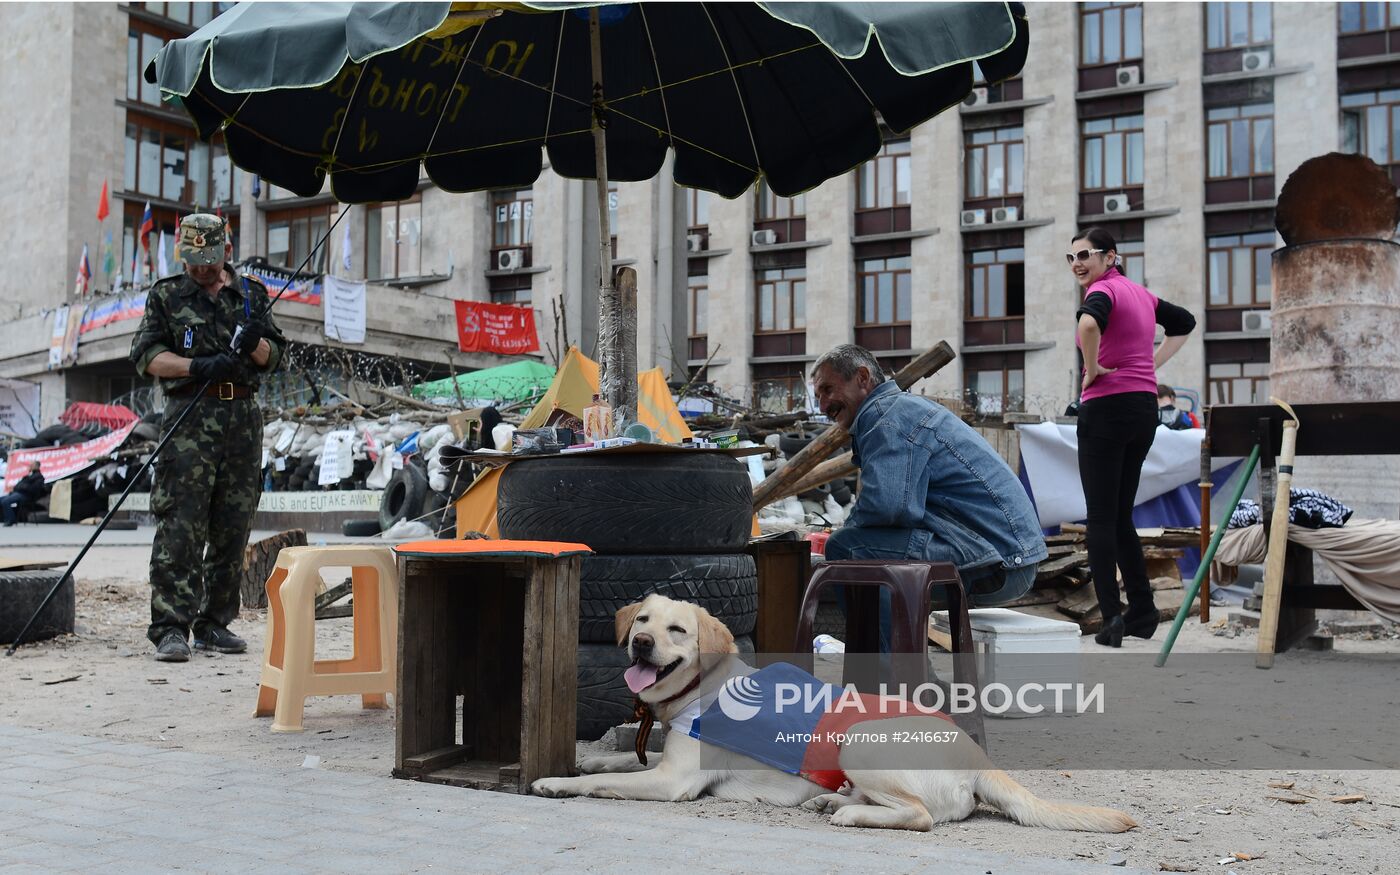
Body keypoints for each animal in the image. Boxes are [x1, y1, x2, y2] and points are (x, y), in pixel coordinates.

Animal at [529, 593, 1131, 834]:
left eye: (677, 630)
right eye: (642, 621)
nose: (641, 644)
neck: (702, 687)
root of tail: (976, 757)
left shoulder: (674, 781)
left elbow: (608, 784)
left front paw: (559, 783)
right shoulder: (661, 761)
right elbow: (615, 765)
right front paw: (587, 763)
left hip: (859, 740)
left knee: (920, 816)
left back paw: (850, 814)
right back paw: (832, 800)